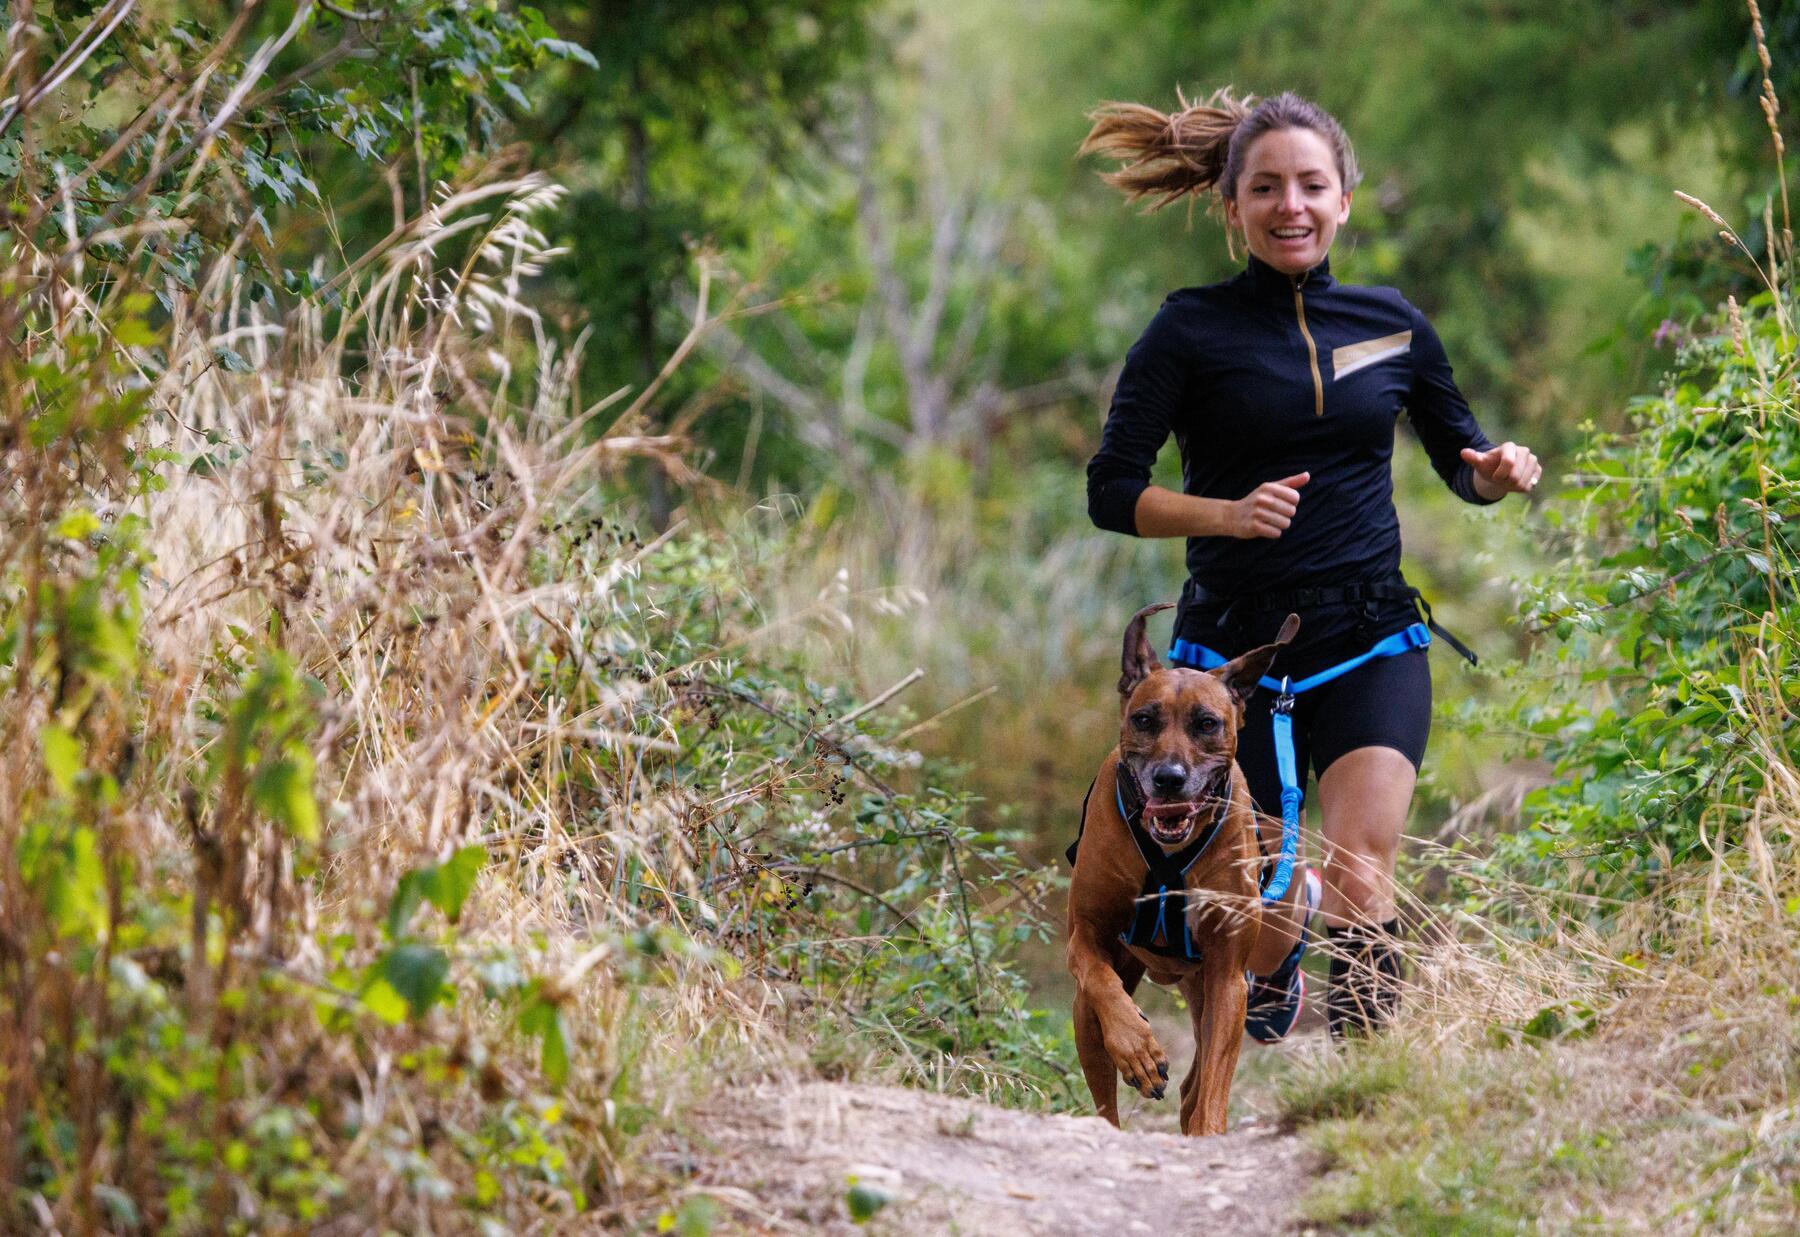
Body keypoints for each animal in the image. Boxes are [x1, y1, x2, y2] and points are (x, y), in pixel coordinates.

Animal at [1058, 604, 1303, 1137]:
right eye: (1144, 719)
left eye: (1207, 723)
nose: (1168, 779)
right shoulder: (1085, 936)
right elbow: (1101, 981)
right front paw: (1138, 1049)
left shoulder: (1228, 977)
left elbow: (1213, 1080)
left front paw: (1208, 1130)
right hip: (1089, 1008)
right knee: (1103, 1076)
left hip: (1209, 990)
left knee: (1199, 1079)